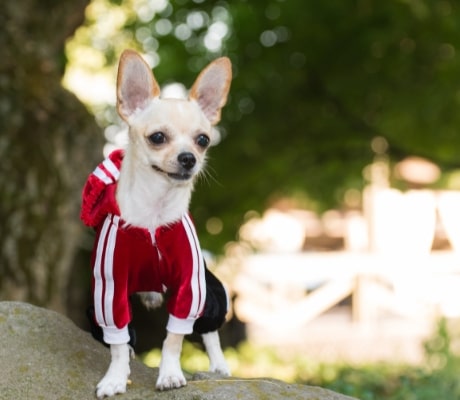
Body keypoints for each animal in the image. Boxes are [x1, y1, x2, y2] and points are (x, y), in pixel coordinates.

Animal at [81, 49, 232, 396]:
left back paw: (218, 366)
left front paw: (170, 374)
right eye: (158, 137)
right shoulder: (109, 290)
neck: (153, 212)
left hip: (210, 292)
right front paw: (115, 377)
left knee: (210, 330)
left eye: (203, 140)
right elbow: (117, 341)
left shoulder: (191, 287)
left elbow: (174, 338)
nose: (189, 158)